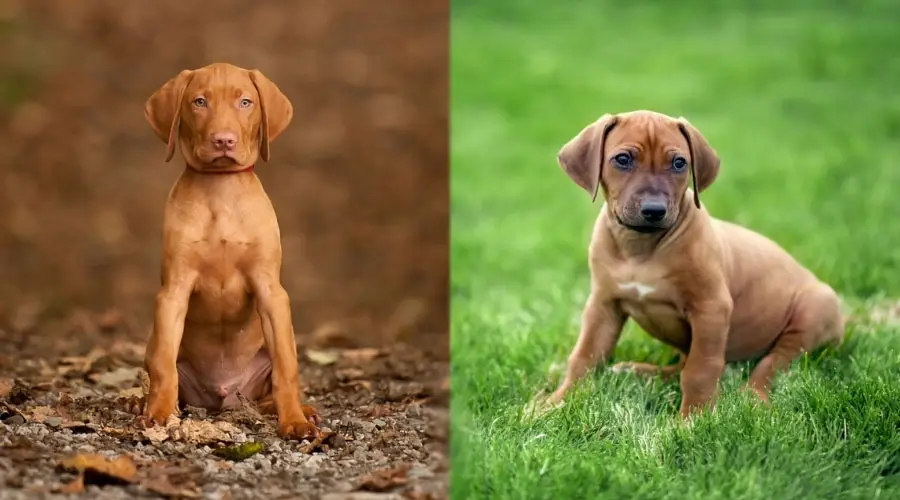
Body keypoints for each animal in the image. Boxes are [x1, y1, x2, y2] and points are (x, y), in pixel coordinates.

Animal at [139, 61, 322, 438]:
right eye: (199, 102)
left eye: (245, 102)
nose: (224, 140)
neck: (221, 190)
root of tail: (222, 398)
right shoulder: (173, 292)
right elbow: (164, 364)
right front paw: (160, 414)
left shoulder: (271, 291)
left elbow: (287, 368)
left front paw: (294, 421)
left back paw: (299, 410)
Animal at [544, 110, 848, 418]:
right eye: (623, 159)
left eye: (679, 163)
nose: (654, 210)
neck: (641, 249)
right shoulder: (604, 305)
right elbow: (584, 356)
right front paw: (556, 402)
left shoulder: (711, 309)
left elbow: (701, 370)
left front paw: (695, 417)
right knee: (683, 366)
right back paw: (637, 371)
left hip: (813, 311)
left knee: (771, 363)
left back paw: (753, 396)